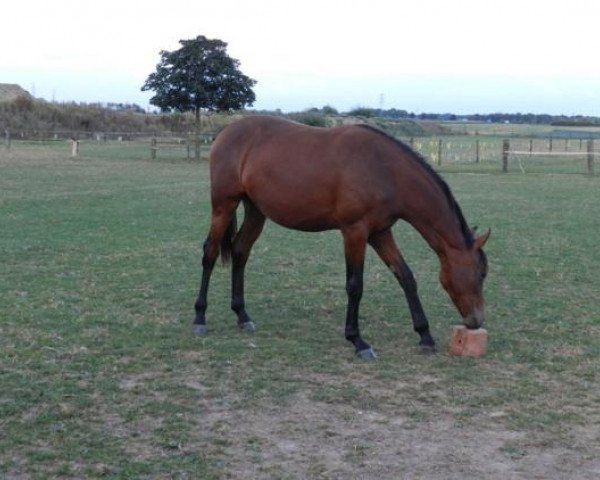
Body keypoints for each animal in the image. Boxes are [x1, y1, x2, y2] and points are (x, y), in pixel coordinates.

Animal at [195, 115, 490, 356]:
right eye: (481, 273)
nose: (476, 321)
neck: (385, 169)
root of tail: (224, 132)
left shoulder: (380, 233)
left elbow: (405, 276)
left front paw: (425, 335)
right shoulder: (355, 231)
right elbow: (355, 285)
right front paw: (358, 341)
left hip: (256, 212)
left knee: (240, 251)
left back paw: (242, 315)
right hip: (223, 206)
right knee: (210, 253)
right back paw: (199, 318)